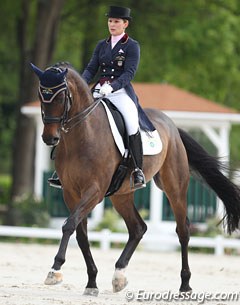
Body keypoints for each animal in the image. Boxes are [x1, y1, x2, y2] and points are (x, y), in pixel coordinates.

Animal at [30, 61, 240, 294]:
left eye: (60, 97)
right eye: (41, 96)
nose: (50, 138)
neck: (83, 135)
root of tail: (173, 126)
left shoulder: (94, 191)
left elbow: (69, 225)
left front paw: (55, 269)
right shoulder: (71, 193)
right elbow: (80, 234)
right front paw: (91, 282)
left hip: (174, 188)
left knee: (183, 230)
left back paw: (185, 284)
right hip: (121, 195)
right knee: (138, 228)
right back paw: (119, 276)